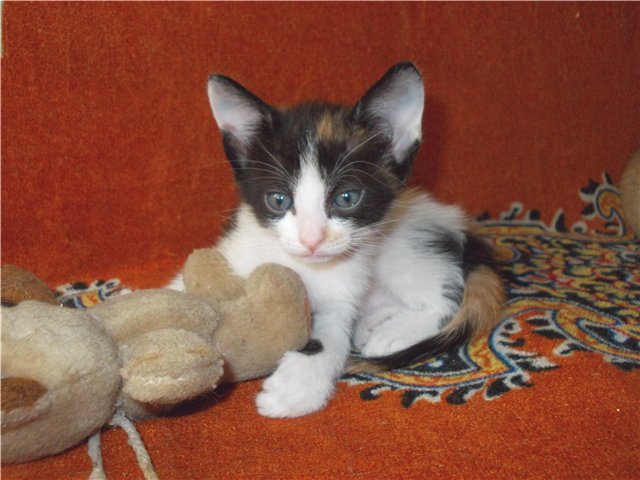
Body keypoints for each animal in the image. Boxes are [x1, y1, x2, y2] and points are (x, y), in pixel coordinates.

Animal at [168, 62, 505, 418]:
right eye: (278, 200)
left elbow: (328, 336)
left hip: (404, 245)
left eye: (347, 197)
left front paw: (294, 389)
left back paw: (392, 333)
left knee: (444, 298)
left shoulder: (342, 291)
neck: (303, 268)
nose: (311, 240)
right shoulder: (236, 248)